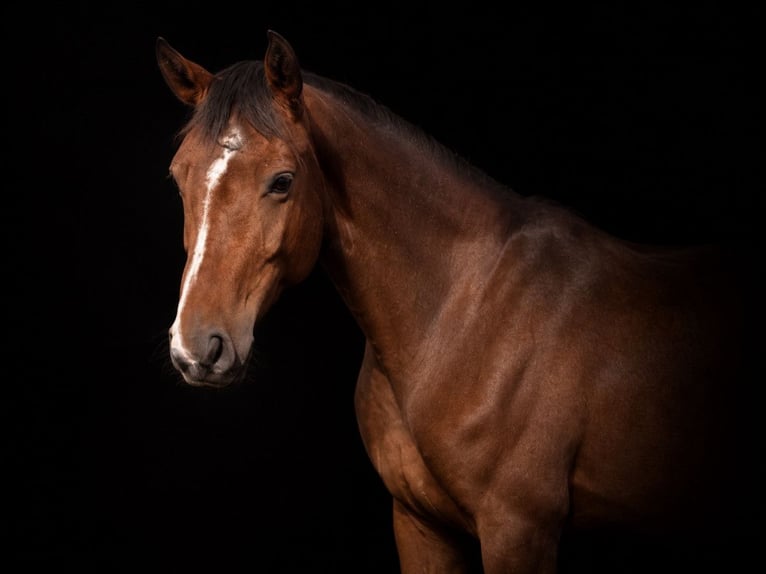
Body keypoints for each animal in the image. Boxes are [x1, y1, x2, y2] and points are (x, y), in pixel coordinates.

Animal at [156, 31, 761, 573]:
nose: (197, 349)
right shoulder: (419, 523)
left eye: (282, 181)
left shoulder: (517, 532)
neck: (460, 317)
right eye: (178, 177)